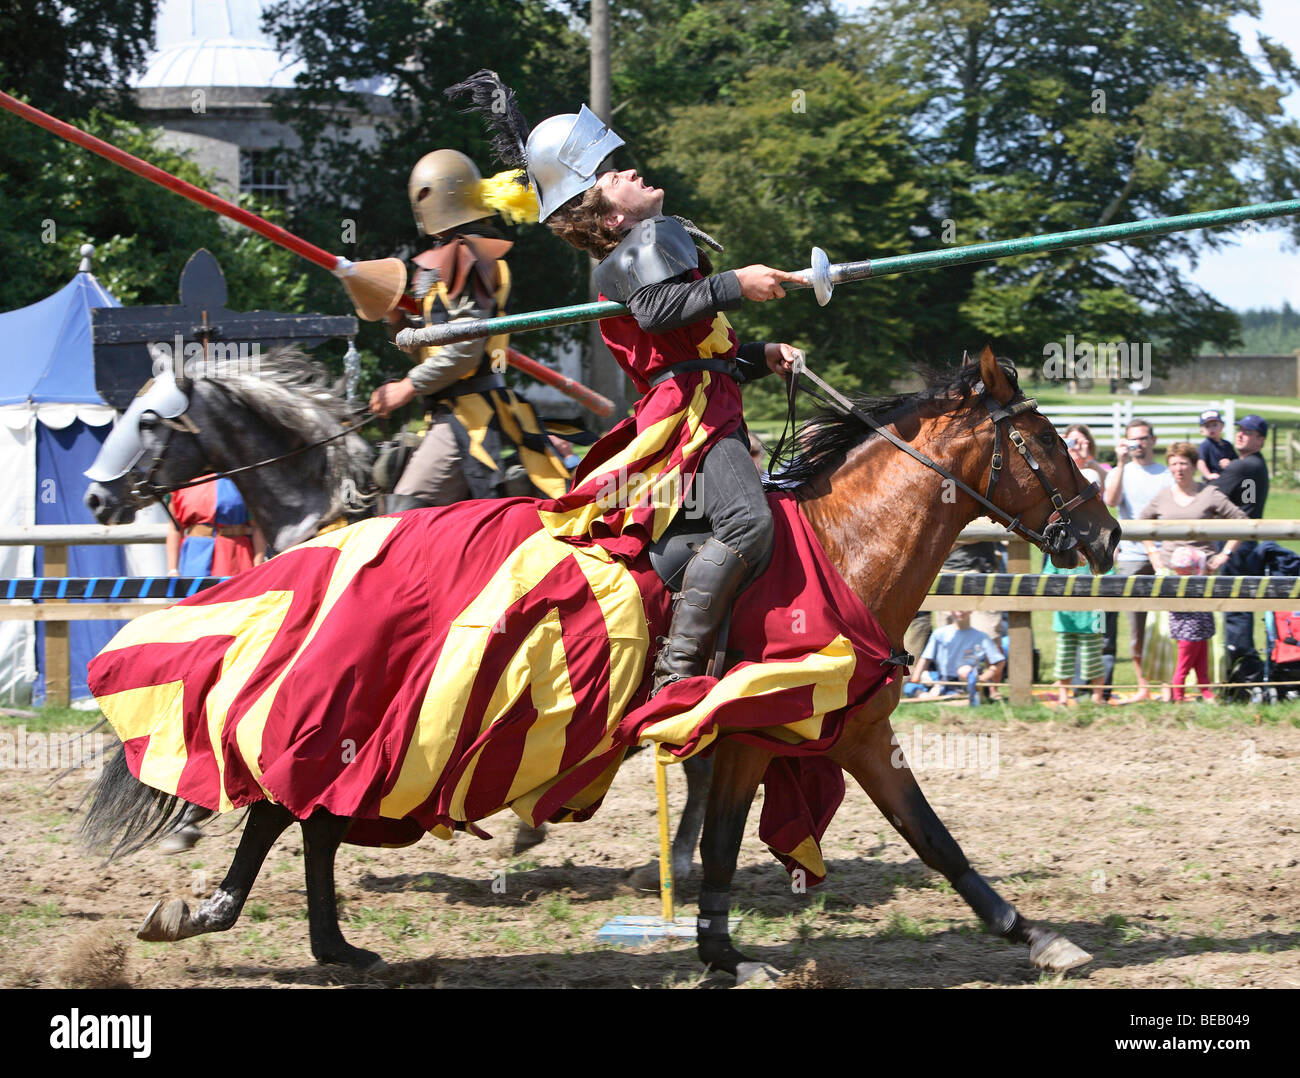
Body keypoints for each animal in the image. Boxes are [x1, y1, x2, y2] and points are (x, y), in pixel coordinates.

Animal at [81, 345, 1118, 983]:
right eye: (1050, 442)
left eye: (151, 420)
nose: (1105, 536)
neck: (842, 547)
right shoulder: (758, 734)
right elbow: (733, 848)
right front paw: (723, 952)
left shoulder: (849, 736)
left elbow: (933, 842)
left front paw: (1036, 937)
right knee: (283, 810)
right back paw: (224, 915)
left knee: (313, 822)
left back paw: (332, 944)